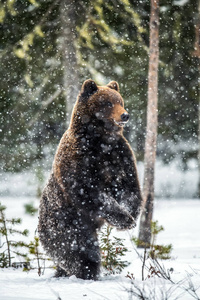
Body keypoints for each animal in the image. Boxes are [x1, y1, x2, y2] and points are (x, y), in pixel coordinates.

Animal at [38, 79, 142, 278]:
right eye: (107, 103)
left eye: (120, 101)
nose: (125, 115)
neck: (100, 139)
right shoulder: (79, 160)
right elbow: (90, 193)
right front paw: (125, 219)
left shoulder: (120, 155)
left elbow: (129, 187)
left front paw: (130, 215)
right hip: (67, 223)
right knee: (79, 249)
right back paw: (86, 272)